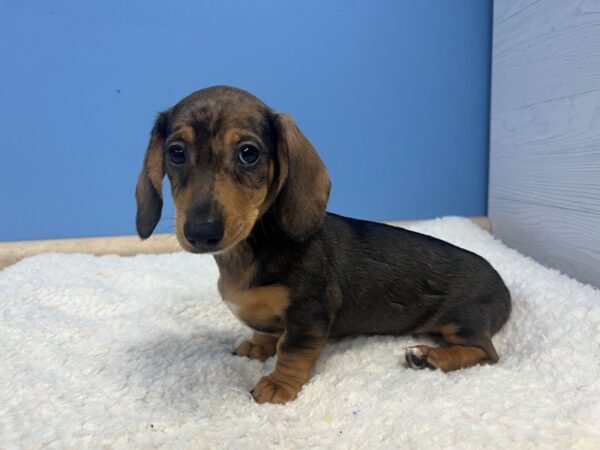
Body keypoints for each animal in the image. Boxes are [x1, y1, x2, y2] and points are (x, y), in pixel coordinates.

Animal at [136, 84, 510, 404]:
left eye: (248, 153)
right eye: (176, 153)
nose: (201, 232)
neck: (254, 248)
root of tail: (505, 289)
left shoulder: (309, 314)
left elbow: (292, 350)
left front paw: (278, 385)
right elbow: (270, 334)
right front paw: (258, 345)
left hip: (462, 320)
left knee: (487, 353)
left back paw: (429, 356)